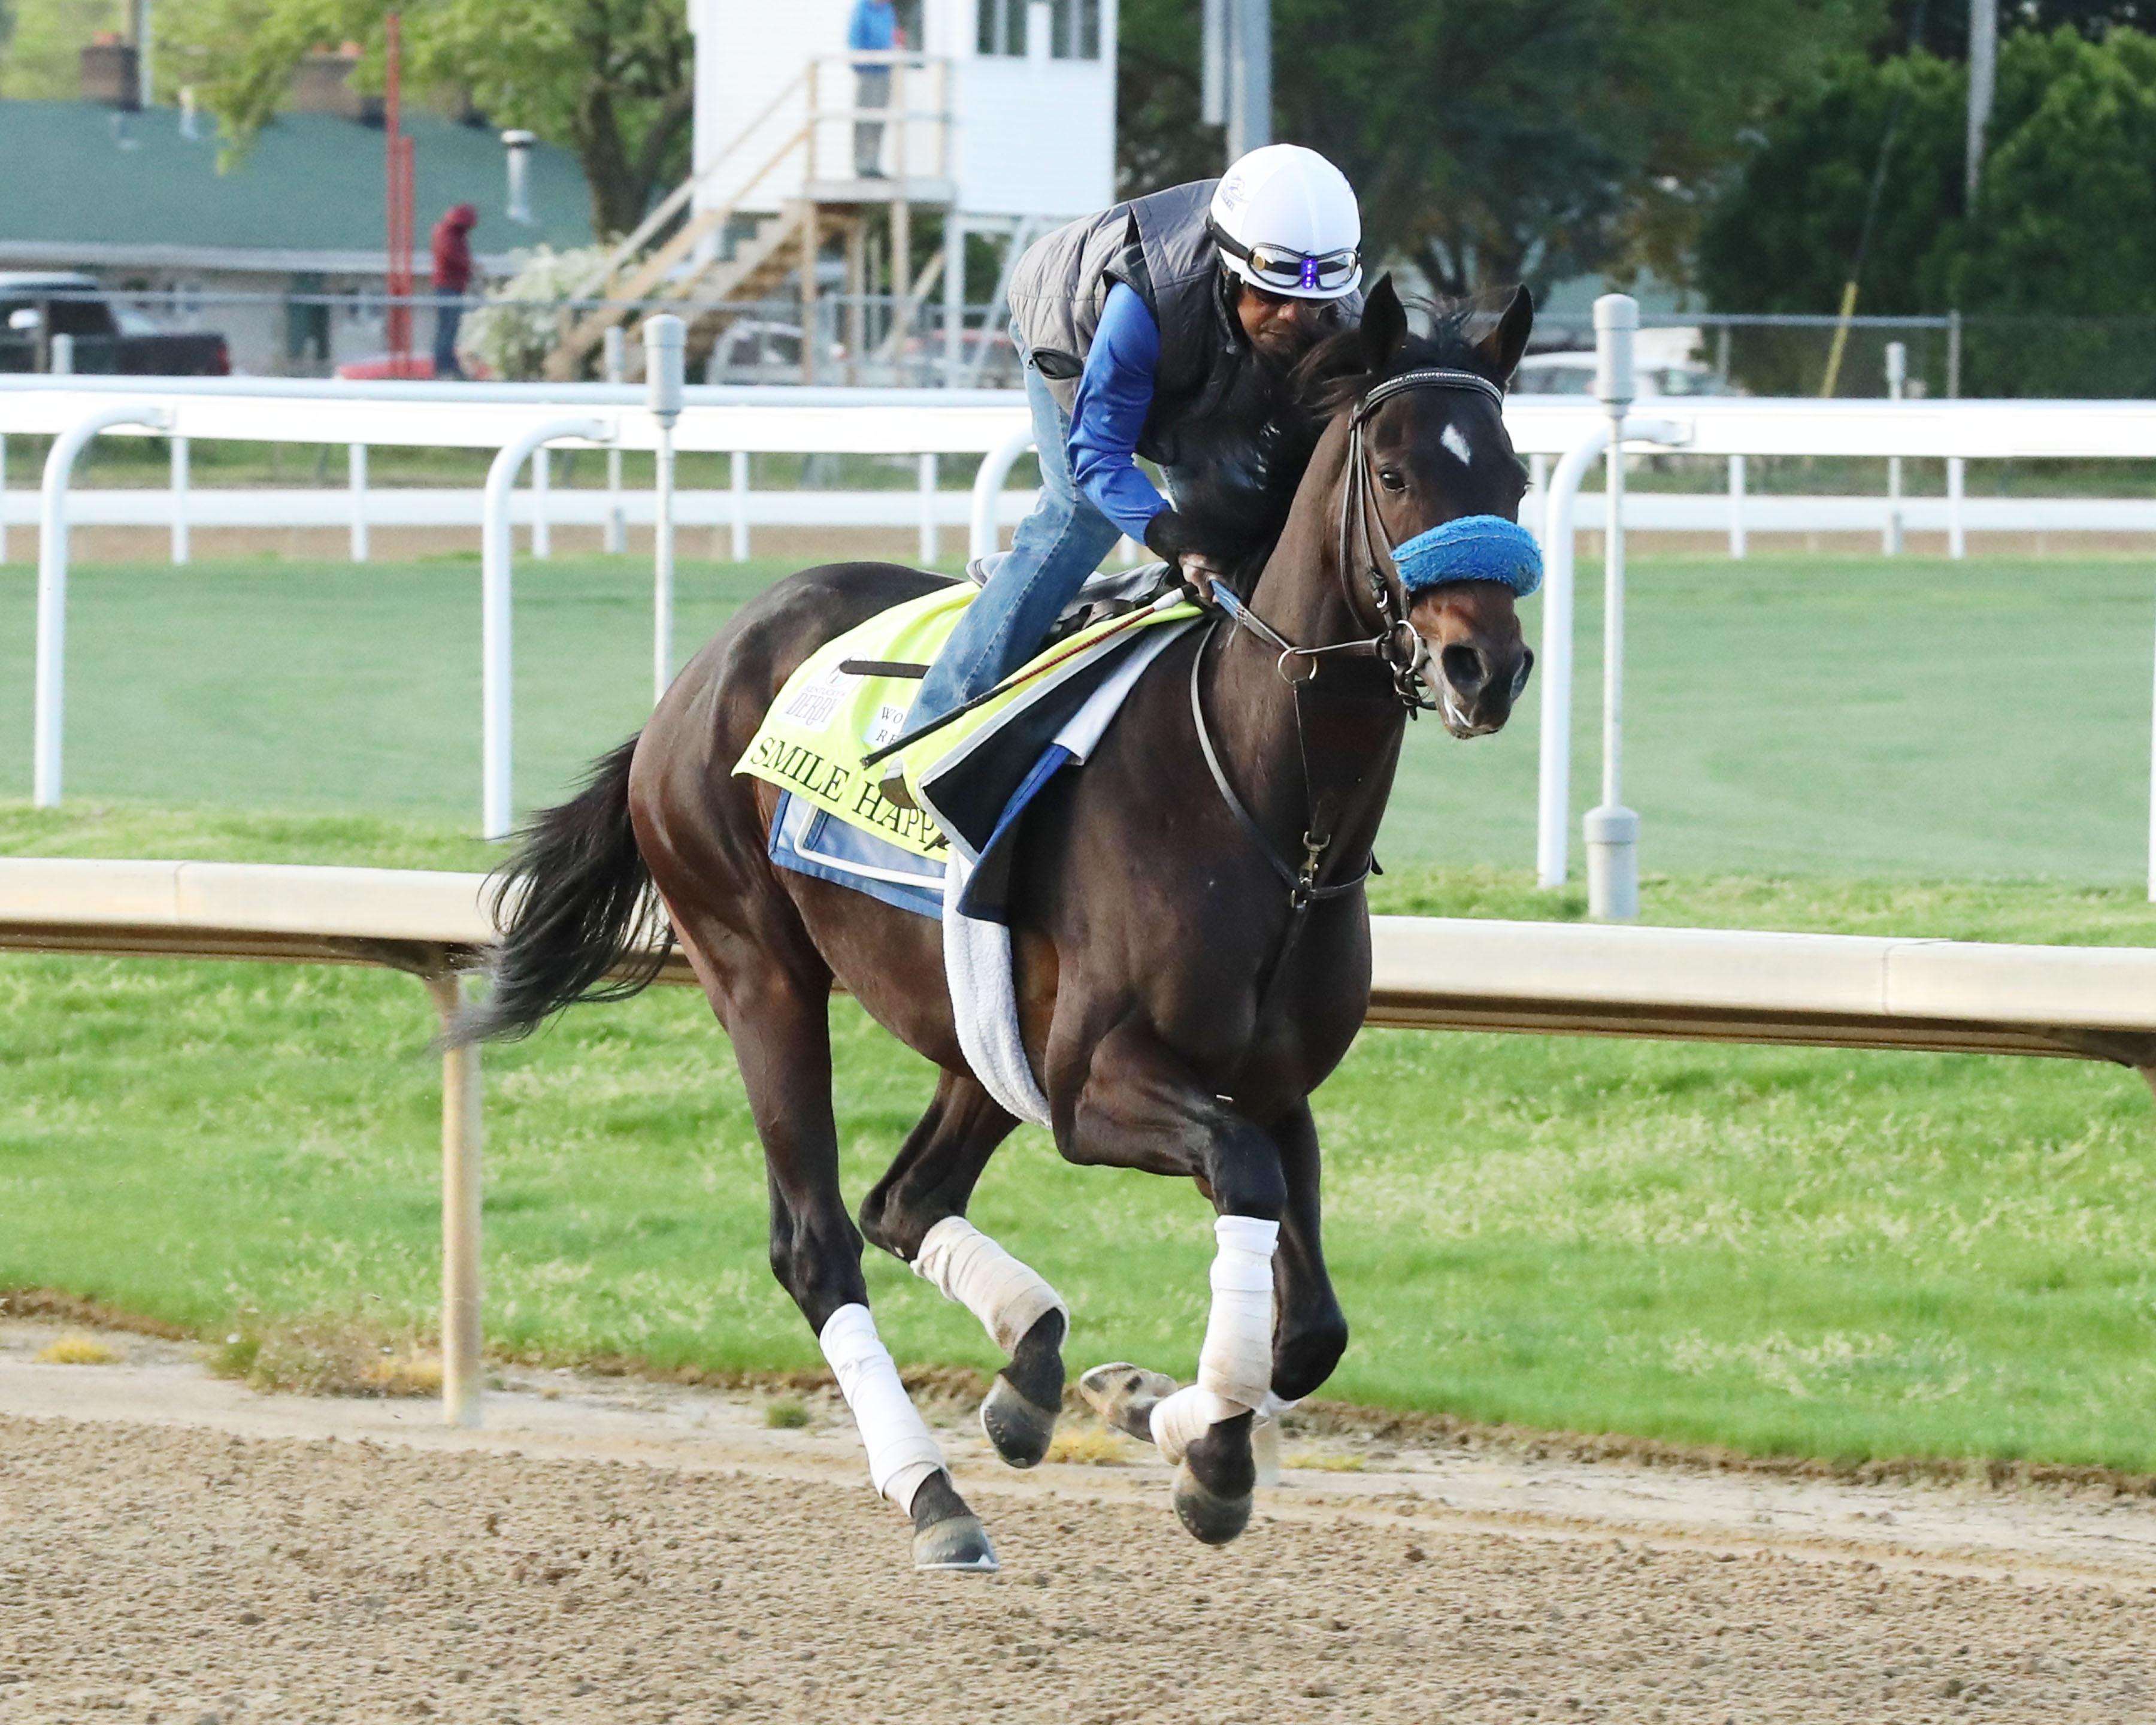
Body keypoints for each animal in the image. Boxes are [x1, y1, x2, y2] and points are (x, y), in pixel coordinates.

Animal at [454, 275, 1538, 1572]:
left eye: (1517, 477)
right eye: (1394, 474)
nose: (1485, 668)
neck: (1264, 805)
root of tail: (702, 670)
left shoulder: (1273, 1083)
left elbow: (1309, 1321)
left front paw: (1162, 1411)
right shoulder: (1095, 1086)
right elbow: (1243, 1180)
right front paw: (1200, 1441)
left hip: (976, 1027)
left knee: (905, 1200)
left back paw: (1032, 1370)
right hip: (758, 970)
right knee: (819, 1242)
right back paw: (934, 1495)